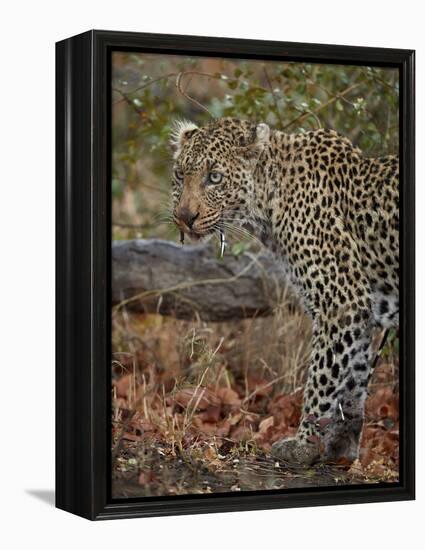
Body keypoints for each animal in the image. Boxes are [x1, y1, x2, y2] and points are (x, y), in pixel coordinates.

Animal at [169, 116, 398, 466]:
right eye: (180, 174)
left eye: (215, 177)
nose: (184, 217)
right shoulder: (360, 311)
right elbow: (353, 378)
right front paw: (341, 447)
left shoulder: (341, 302)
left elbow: (322, 376)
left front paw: (303, 445)